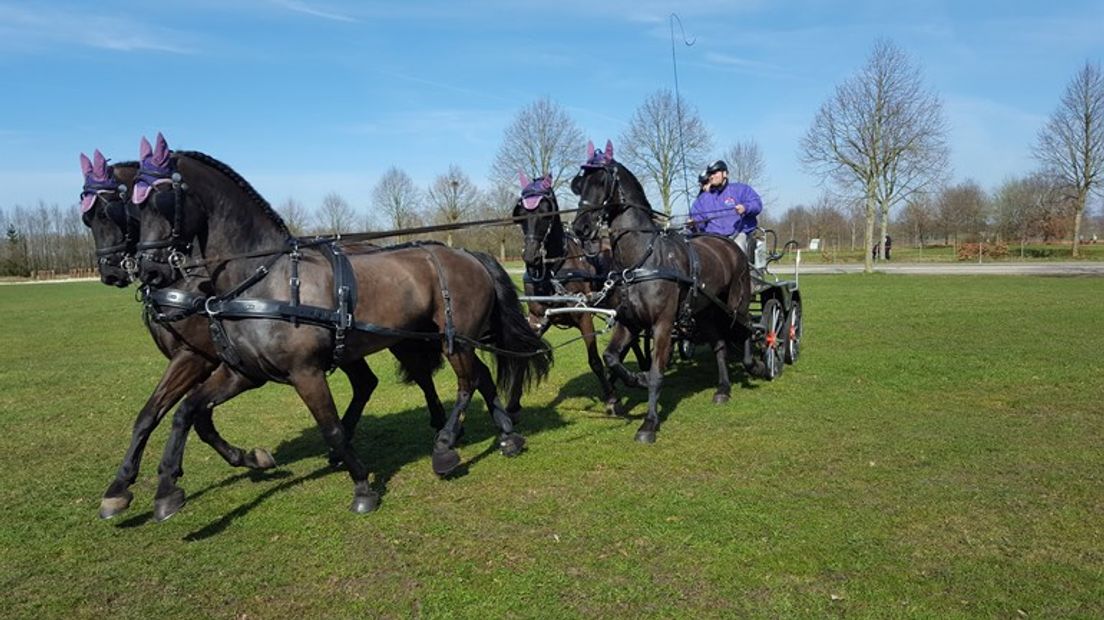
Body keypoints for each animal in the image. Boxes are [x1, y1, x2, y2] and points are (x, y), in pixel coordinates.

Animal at [78, 148, 448, 516]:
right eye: (89, 218)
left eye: (113, 210)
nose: (120, 272)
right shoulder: (228, 366)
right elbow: (160, 414)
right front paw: (125, 487)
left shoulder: (198, 358)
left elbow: (192, 415)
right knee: (366, 383)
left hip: (399, 337)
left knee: (419, 373)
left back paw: (439, 424)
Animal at [130, 136, 547, 516]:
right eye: (134, 209)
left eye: (162, 199)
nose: (149, 270)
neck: (264, 279)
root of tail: (468, 254)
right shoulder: (244, 372)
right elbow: (187, 411)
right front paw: (168, 488)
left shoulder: (306, 372)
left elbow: (329, 426)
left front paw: (363, 486)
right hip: (449, 339)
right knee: (479, 377)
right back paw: (507, 437)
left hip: (454, 340)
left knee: (466, 382)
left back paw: (445, 448)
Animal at [569, 141, 750, 439]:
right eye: (580, 183)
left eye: (603, 180)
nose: (580, 227)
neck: (643, 259)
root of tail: (730, 245)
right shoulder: (629, 322)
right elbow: (611, 357)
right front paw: (635, 380)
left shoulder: (662, 324)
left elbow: (656, 373)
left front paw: (649, 422)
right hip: (704, 313)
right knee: (720, 344)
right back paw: (723, 388)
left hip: (737, 303)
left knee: (748, 328)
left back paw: (753, 361)